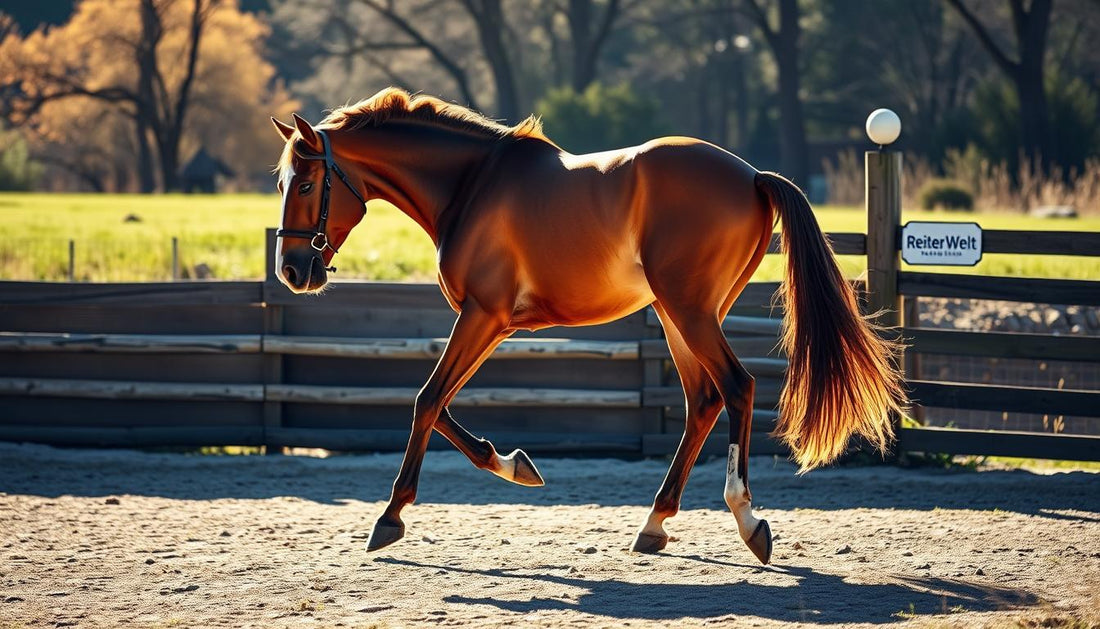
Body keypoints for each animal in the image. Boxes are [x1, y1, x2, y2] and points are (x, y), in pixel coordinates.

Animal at [271, 87, 905, 565]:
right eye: (280, 184)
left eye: (304, 184)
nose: (292, 271)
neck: (470, 186)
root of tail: (750, 175)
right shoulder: (492, 323)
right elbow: (441, 406)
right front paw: (514, 464)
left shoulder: (482, 315)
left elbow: (426, 401)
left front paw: (390, 517)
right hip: (681, 315)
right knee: (703, 400)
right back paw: (654, 524)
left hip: (690, 310)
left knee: (737, 388)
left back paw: (747, 520)